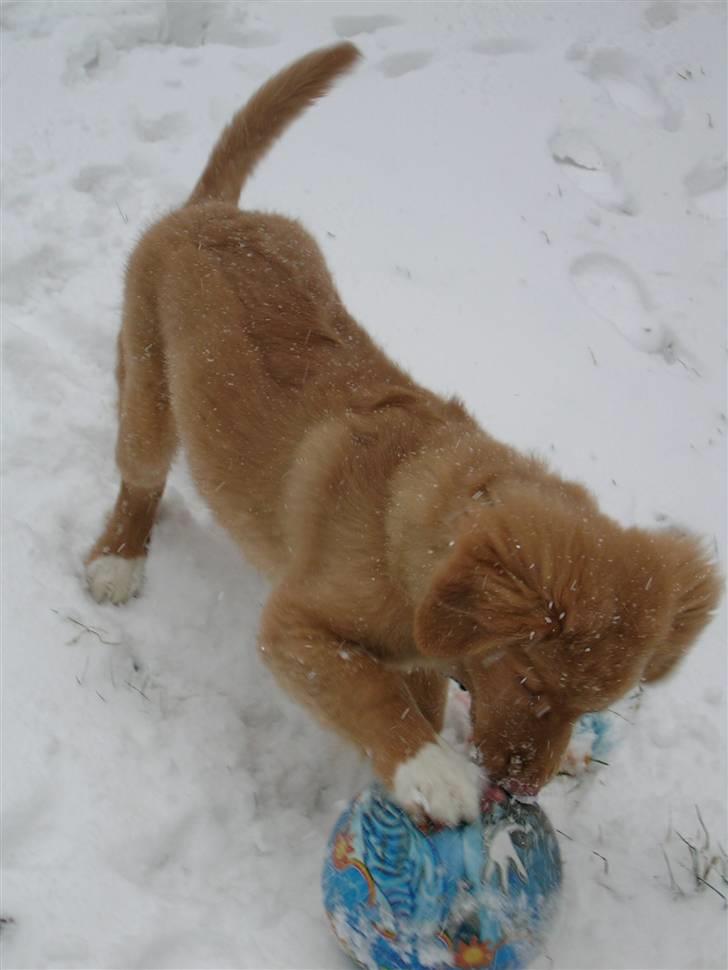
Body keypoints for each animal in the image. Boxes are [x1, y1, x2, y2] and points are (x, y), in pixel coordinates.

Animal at [86, 41, 724, 820]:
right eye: (533, 682)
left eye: (589, 707)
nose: (522, 790)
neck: (405, 523)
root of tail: (212, 210)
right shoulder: (294, 627)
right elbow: (369, 692)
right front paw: (432, 769)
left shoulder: (424, 654)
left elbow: (421, 690)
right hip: (149, 394)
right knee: (140, 481)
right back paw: (118, 559)